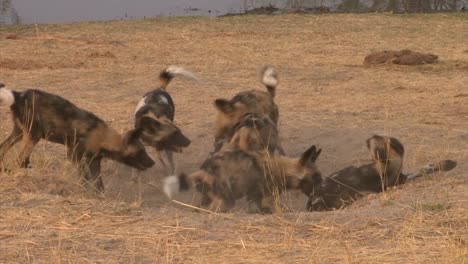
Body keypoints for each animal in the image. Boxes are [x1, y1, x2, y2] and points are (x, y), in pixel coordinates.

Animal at [0, 84, 155, 192]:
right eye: (140, 152)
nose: (152, 162)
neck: (103, 137)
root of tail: (19, 95)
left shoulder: (94, 161)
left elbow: (98, 181)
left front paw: (99, 195)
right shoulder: (75, 156)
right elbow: (85, 178)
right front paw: (84, 190)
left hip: (19, 133)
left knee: (3, 148)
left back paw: (5, 170)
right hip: (33, 136)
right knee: (20, 159)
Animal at [162, 144, 322, 212]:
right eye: (316, 177)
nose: (322, 188)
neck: (283, 169)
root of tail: (204, 169)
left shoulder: (254, 196)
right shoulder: (264, 196)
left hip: (208, 197)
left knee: (199, 209)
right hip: (226, 200)